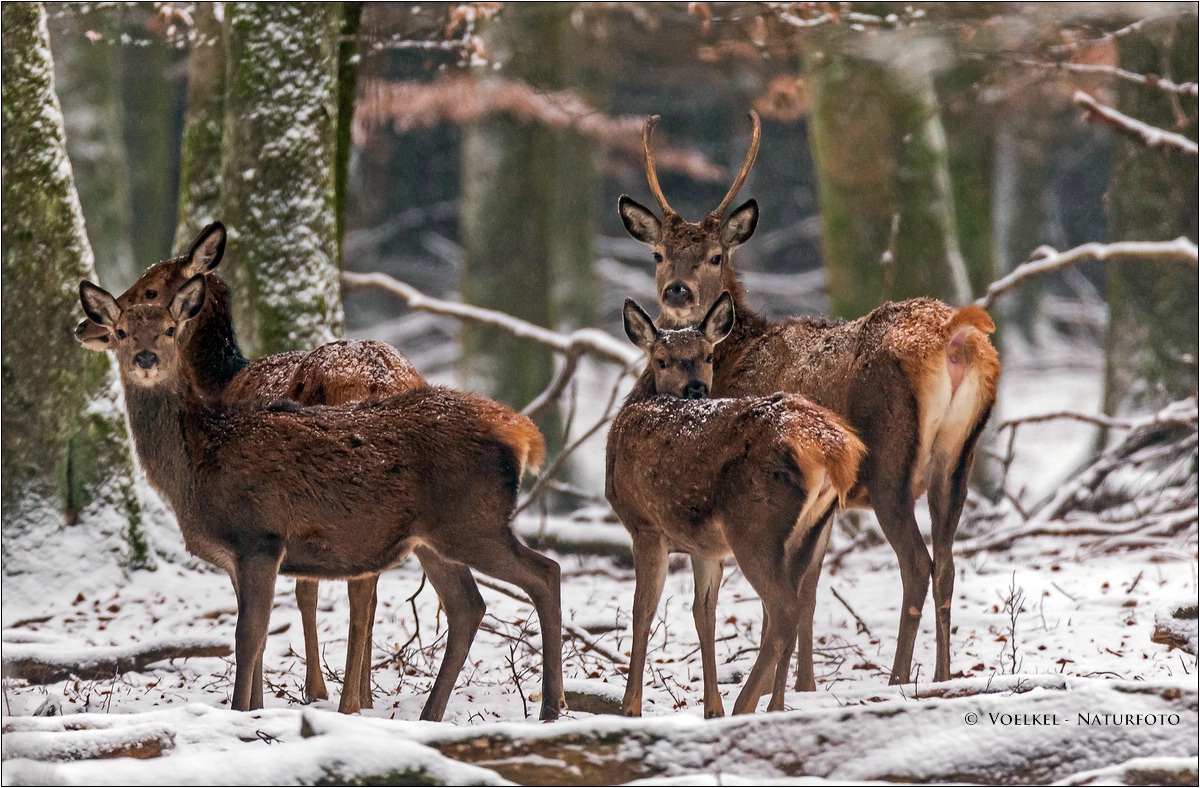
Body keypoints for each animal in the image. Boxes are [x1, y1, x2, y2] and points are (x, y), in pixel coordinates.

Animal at [609, 291, 864, 714]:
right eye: (663, 360)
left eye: (709, 356)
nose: (696, 387)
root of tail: (832, 447)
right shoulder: (705, 546)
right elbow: (703, 613)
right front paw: (711, 706)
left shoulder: (644, 524)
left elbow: (642, 610)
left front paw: (630, 707)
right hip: (809, 529)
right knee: (798, 604)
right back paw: (771, 706)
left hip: (754, 525)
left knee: (783, 610)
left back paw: (745, 703)